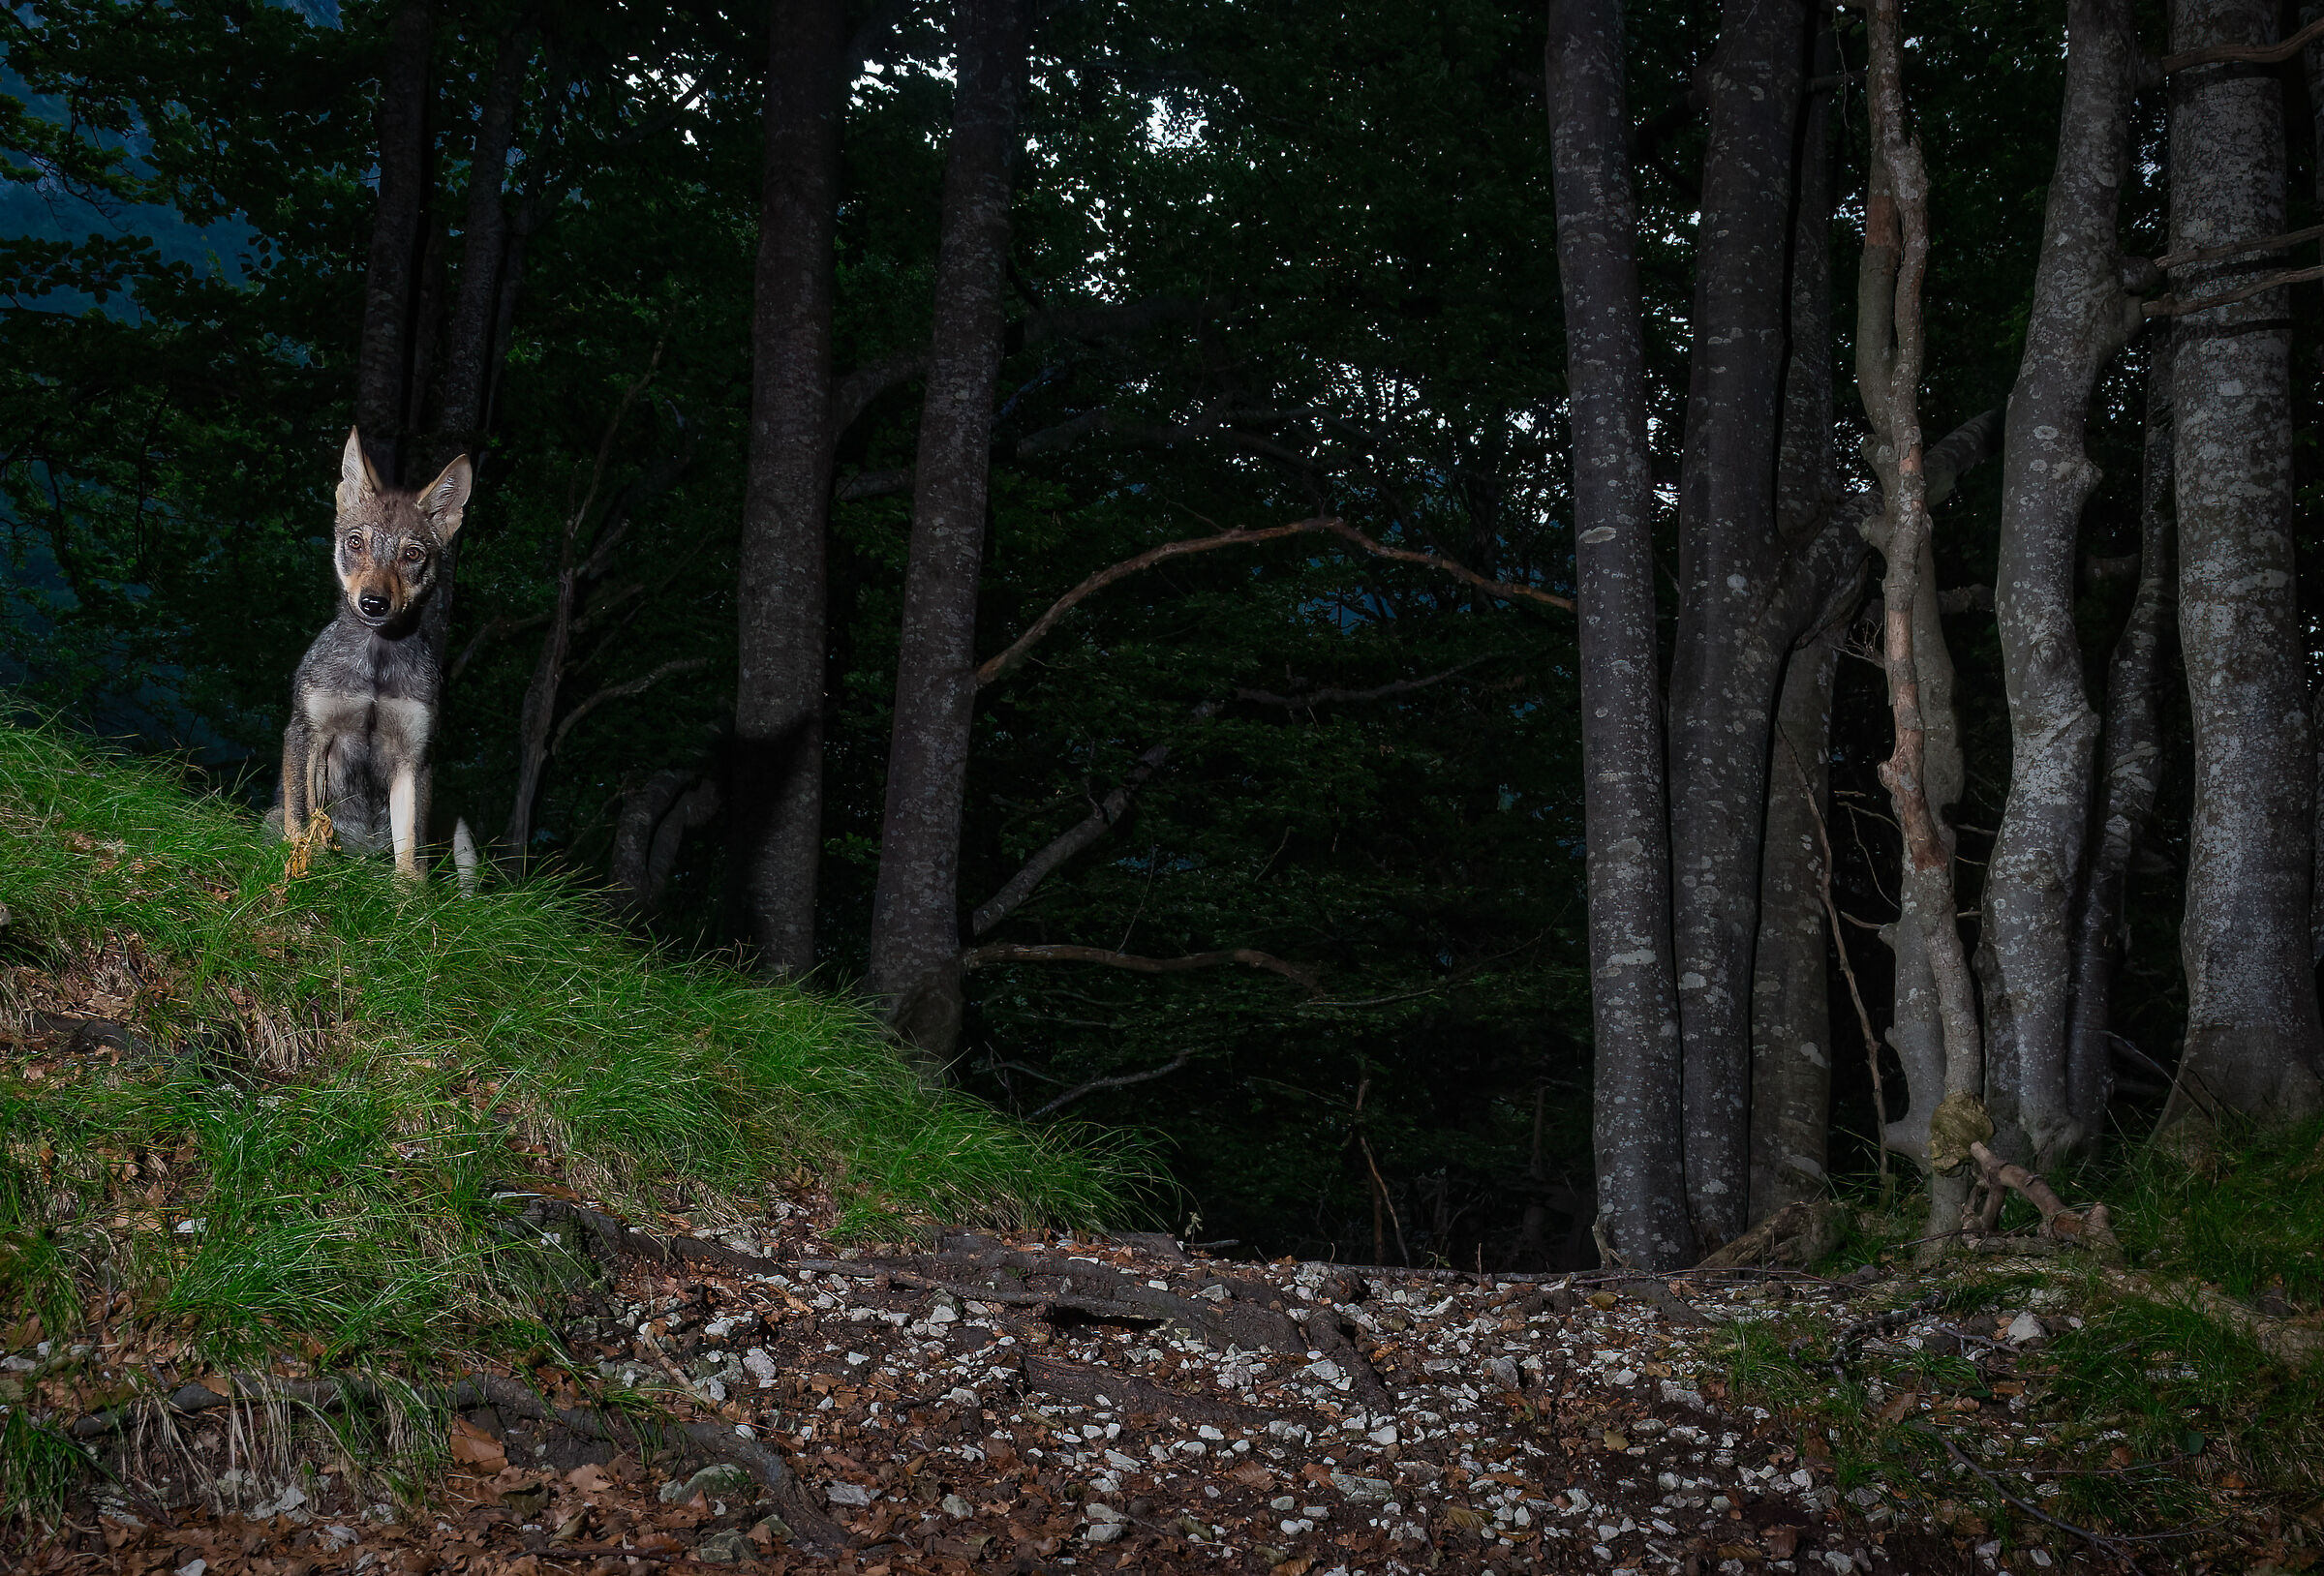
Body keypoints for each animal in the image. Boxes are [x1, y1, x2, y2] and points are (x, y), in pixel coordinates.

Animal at [278, 430, 473, 882]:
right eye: (355, 542)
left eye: (412, 554)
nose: (374, 603)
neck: (376, 672)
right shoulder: (308, 732)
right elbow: (302, 820)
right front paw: (302, 868)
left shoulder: (414, 756)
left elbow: (410, 855)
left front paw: (407, 896)